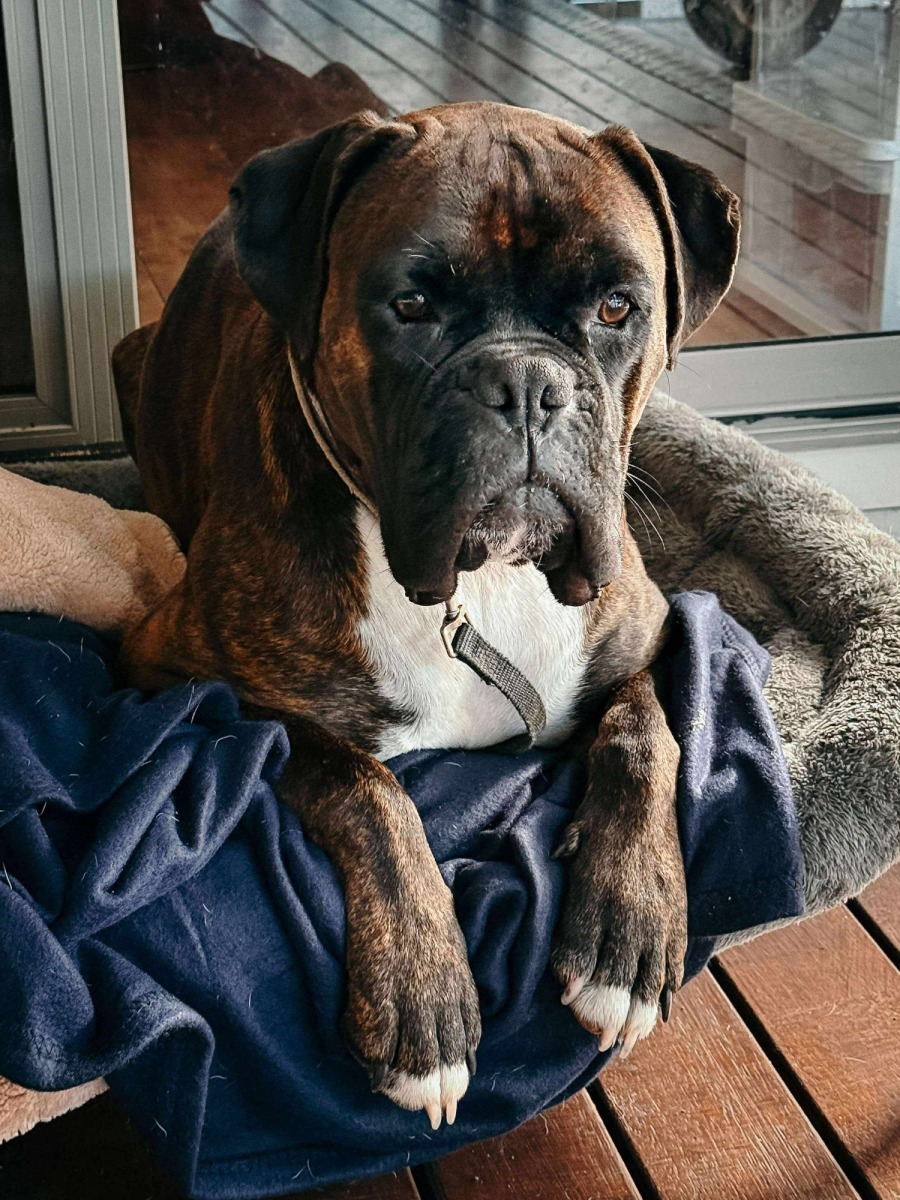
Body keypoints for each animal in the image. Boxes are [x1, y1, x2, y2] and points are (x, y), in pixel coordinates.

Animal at [114, 101, 740, 1130]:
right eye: (411, 305)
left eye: (618, 308)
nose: (528, 385)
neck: (475, 588)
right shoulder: (171, 673)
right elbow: (363, 783)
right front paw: (423, 998)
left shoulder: (646, 633)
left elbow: (648, 732)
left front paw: (630, 923)